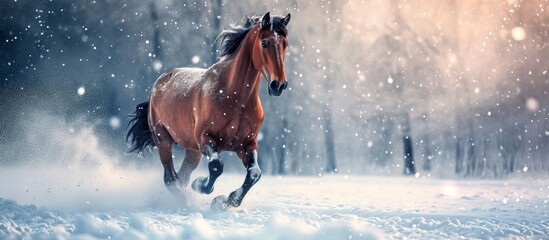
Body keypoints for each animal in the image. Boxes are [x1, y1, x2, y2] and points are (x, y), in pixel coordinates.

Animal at [127, 12, 292, 209]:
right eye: (264, 43)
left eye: (285, 44)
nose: (278, 85)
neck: (235, 98)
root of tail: (160, 82)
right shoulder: (205, 138)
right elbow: (216, 166)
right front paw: (201, 186)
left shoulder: (247, 144)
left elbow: (254, 174)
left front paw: (227, 201)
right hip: (163, 141)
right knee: (170, 178)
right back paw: (182, 199)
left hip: (192, 151)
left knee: (181, 175)